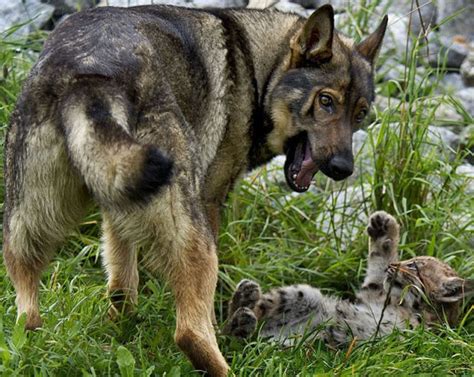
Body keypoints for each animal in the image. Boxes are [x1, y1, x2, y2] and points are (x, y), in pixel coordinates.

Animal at [3, 4, 386, 374]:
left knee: (27, 311)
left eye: (360, 114)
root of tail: (90, 75)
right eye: (326, 101)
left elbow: (121, 286)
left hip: (26, 227)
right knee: (190, 332)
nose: (343, 169)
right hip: (194, 240)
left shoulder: (118, 211)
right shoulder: (210, 202)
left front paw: (119, 329)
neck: (256, 68)